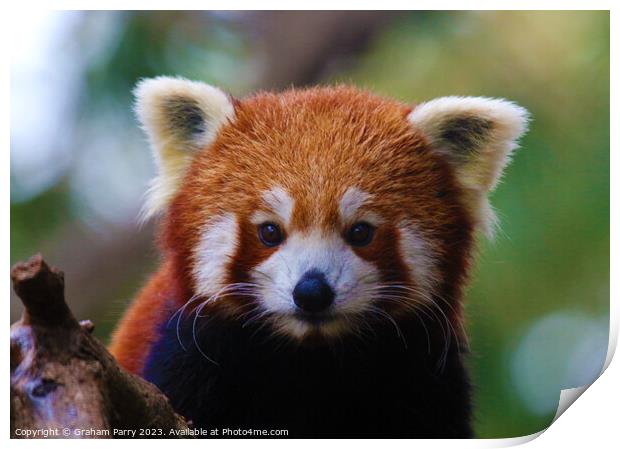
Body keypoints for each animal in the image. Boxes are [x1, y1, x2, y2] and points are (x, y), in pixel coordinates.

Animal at [108, 78, 528, 438]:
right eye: (269, 231)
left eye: (360, 232)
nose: (311, 292)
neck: (312, 361)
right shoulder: (184, 360)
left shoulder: (426, 379)